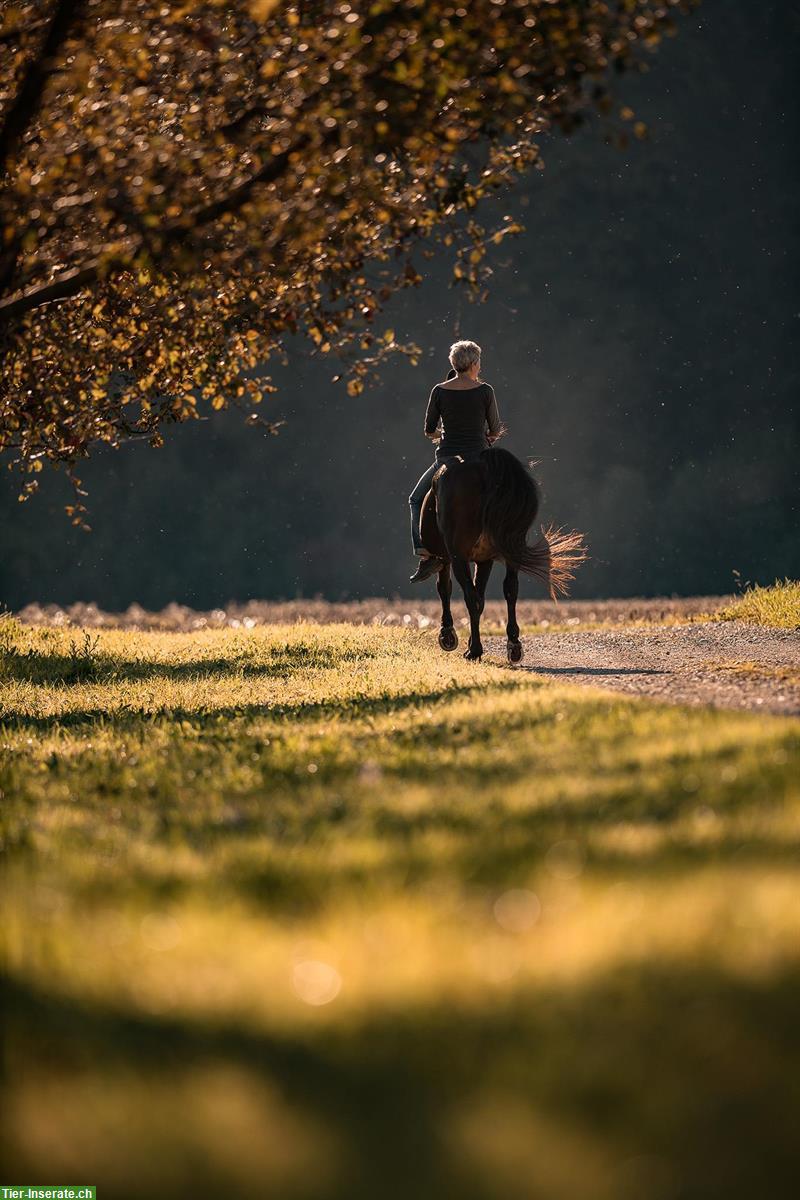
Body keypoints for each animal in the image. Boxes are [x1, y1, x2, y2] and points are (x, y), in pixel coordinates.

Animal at [419, 448, 587, 662]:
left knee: (470, 596)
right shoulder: (484, 560)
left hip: (458, 556)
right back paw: (513, 646)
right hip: (509, 551)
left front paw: (448, 635)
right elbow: (481, 597)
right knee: (510, 589)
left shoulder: (448, 557)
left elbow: (445, 588)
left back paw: (474, 651)